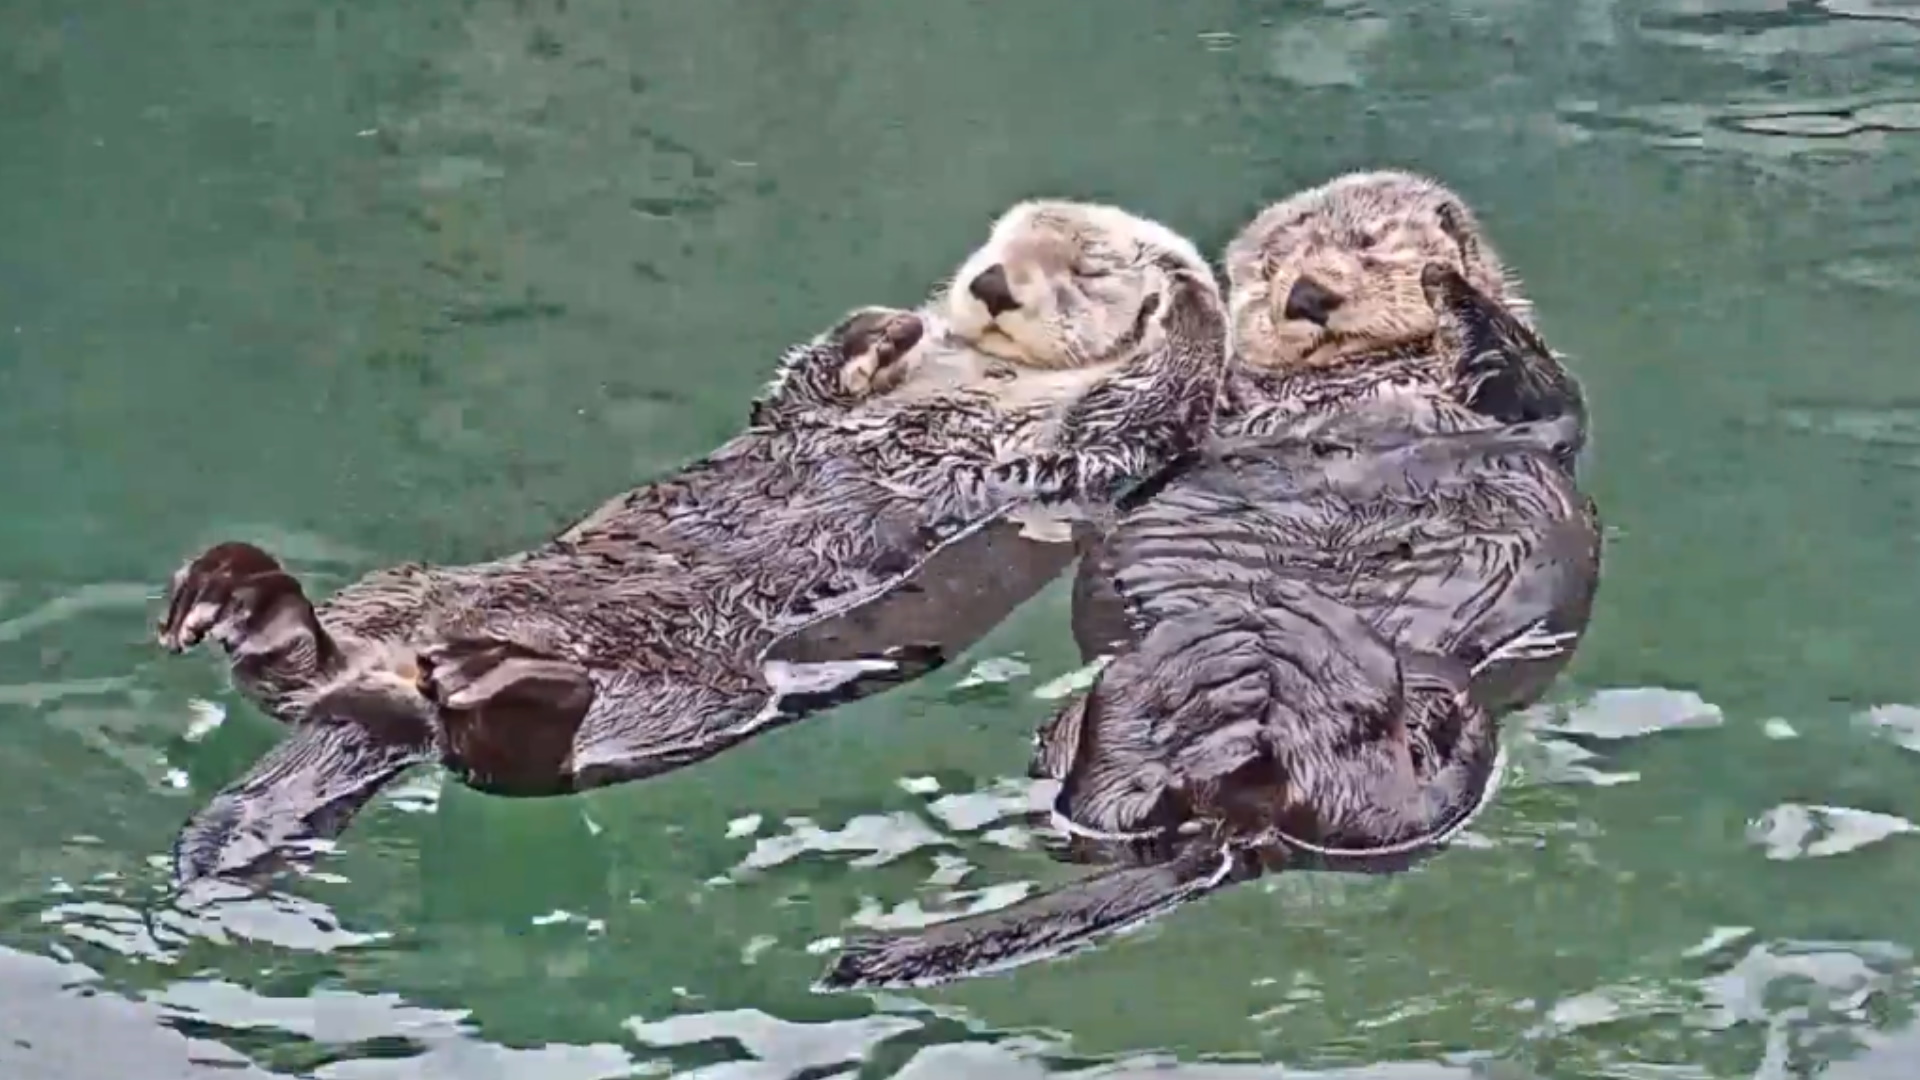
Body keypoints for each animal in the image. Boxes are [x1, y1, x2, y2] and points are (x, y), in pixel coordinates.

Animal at [158, 199, 1230, 885]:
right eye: (997, 242)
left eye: (1086, 270)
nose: (993, 281)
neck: (993, 372)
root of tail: (386, 695)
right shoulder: (821, 400)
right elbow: (806, 384)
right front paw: (883, 329)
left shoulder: (1106, 445)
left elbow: (1146, 397)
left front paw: (1180, 308)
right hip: (397, 593)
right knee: (290, 675)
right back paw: (241, 599)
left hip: (677, 703)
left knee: (520, 765)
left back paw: (505, 686)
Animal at [816, 173, 1601, 991]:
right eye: (1270, 269)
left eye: (1366, 244)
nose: (1307, 293)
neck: (1357, 380)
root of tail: (1237, 808)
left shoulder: (1535, 412)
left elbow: (1543, 387)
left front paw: (1446, 282)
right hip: (1075, 729)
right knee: (1106, 812)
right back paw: (1194, 677)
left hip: (1456, 713)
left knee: (1384, 822)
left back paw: (1314, 657)